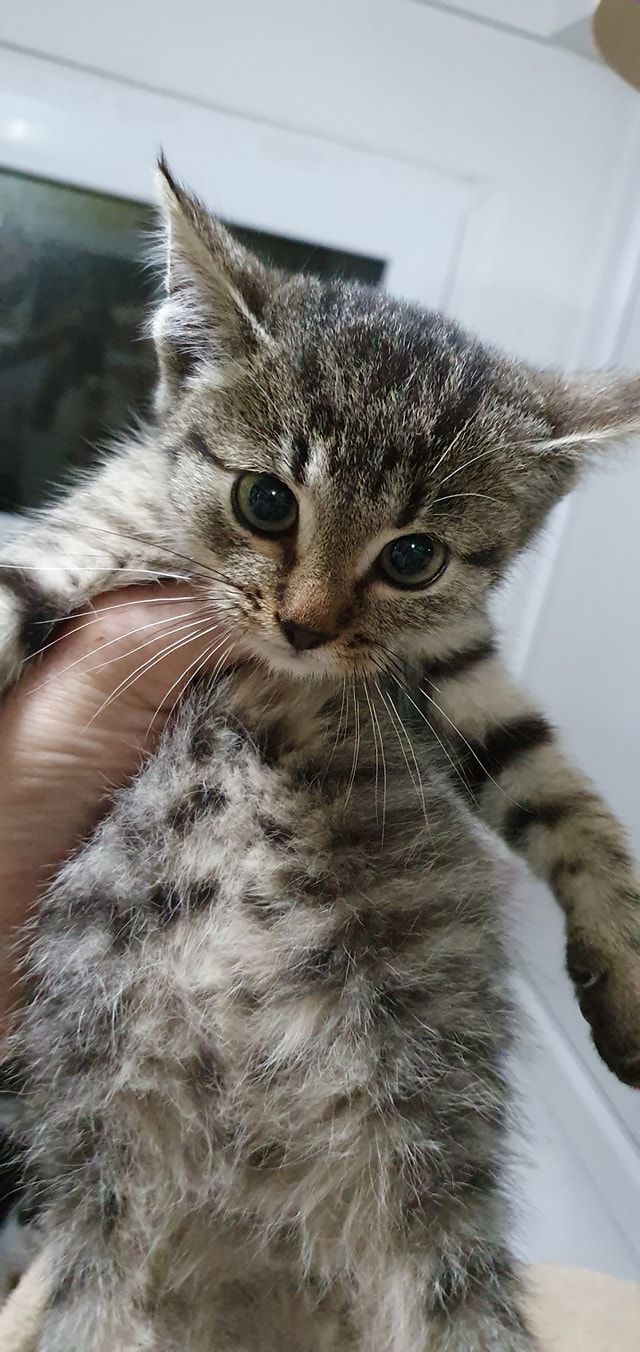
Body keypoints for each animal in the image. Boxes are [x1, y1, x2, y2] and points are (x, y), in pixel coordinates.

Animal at [0, 157, 639, 1350]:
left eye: (413, 556)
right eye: (265, 500)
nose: (302, 625)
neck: (285, 678)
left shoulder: (452, 668)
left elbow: (564, 798)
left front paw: (624, 970)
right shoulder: (85, 535)